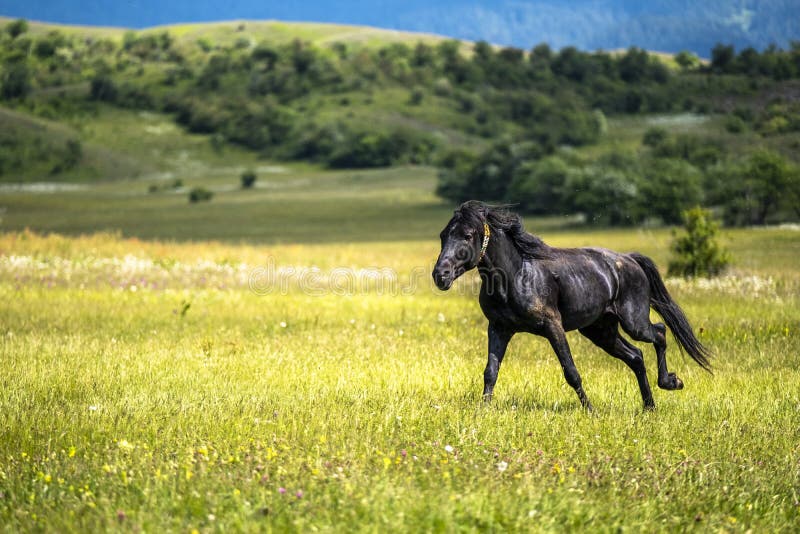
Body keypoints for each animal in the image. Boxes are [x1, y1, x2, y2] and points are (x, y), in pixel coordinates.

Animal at [434, 203, 708, 412]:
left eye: (468, 235)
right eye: (443, 235)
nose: (440, 275)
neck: (516, 275)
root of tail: (630, 259)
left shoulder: (552, 326)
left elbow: (571, 371)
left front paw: (590, 410)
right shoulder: (499, 328)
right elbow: (491, 371)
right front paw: (483, 410)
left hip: (634, 322)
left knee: (659, 332)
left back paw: (671, 382)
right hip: (600, 331)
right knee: (636, 356)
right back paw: (649, 406)